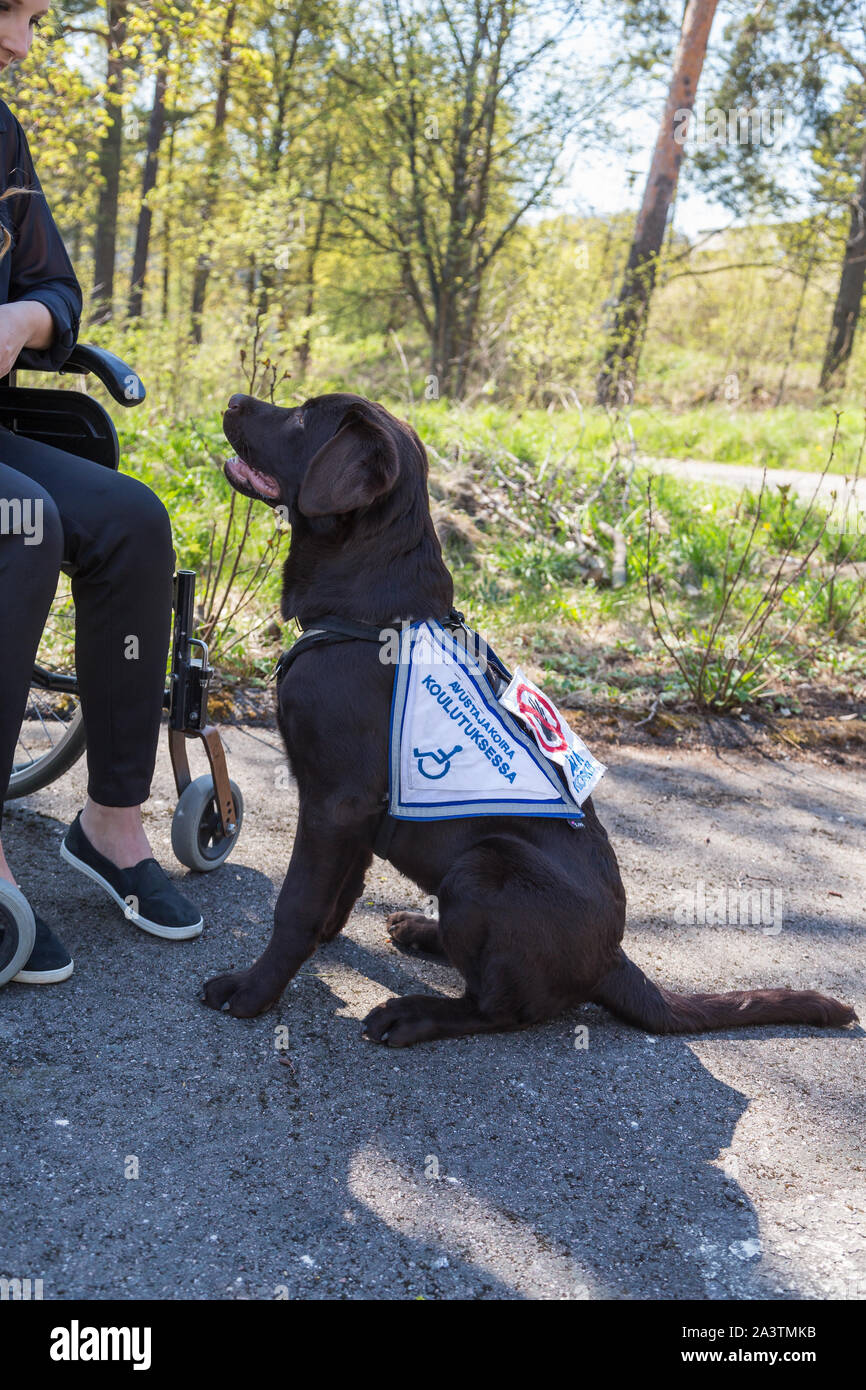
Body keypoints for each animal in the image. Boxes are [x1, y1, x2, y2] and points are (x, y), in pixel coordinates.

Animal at [200, 391, 856, 1045]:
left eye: (302, 416)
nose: (231, 399)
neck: (368, 611)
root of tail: (613, 960)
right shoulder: (358, 809)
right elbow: (342, 888)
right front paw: (325, 942)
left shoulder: (336, 800)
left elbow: (297, 905)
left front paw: (252, 991)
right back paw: (422, 931)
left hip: (484, 867)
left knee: (500, 1007)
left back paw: (413, 1013)